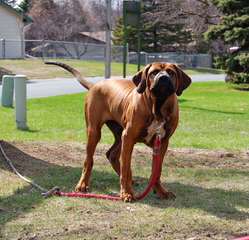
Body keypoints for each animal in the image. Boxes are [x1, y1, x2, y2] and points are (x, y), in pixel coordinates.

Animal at [45, 61, 192, 201]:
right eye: (154, 72)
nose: (163, 78)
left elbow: (157, 171)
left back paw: (130, 179)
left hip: (120, 135)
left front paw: (161, 191)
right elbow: (126, 167)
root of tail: (95, 85)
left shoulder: (162, 142)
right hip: (95, 132)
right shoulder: (129, 137)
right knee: (89, 160)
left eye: (171, 73)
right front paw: (126, 193)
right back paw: (83, 184)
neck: (158, 108)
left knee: (111, 154)